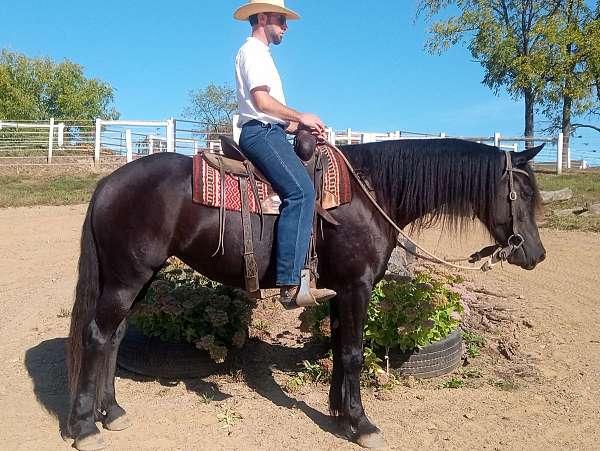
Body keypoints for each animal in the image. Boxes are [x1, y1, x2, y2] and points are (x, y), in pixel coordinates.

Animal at [68, 139, 548, 450]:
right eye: (522, 193)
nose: (537, 254)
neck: (370, 195)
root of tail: (108, 183)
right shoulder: (356, 287)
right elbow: (353, 354)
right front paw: (362, 424)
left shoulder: (338, 291)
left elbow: (338, 349)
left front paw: (340, 414)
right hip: (128, 277)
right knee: (97, 336)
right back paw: (85, 427)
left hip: (138, 277)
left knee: (115, 336)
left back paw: (112, 413)